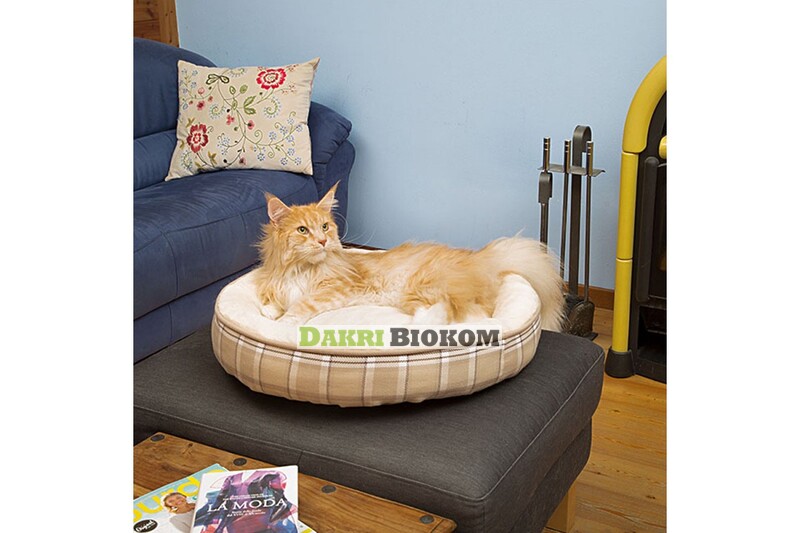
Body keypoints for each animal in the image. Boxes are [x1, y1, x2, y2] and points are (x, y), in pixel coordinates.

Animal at [254, 183, 565, 331]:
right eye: (303, 230)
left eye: (325, 227)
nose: (322, 241)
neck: (300, 270)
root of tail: (482, 258)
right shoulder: (279, 285)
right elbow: (272, 302)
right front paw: (269, 312)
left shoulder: (337, 288)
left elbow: (300, 307)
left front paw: (280, 323)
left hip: (425, 286)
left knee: (455, 314)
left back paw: (414, 327)